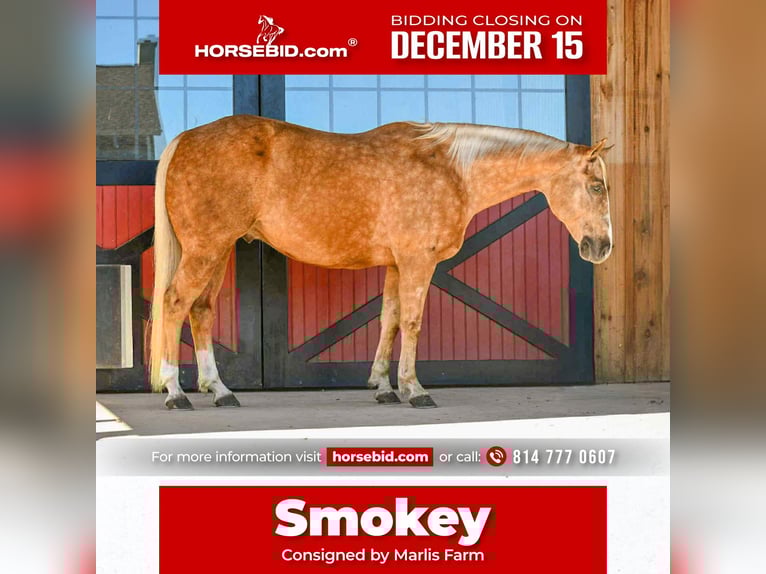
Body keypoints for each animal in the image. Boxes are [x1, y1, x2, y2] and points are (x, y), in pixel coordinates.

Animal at [150, 116, 612, 410]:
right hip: (206, 249)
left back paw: (220, 390)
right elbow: (411, 322)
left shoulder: (396, 265)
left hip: (219, 250)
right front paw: (414, 389)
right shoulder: (417, 262)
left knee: (201, 310)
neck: (452, 169)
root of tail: (185, 139)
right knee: (174, 303)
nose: (602, 247)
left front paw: (384, 387)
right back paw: (176, 392)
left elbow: (388, 319)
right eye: (595, 186)